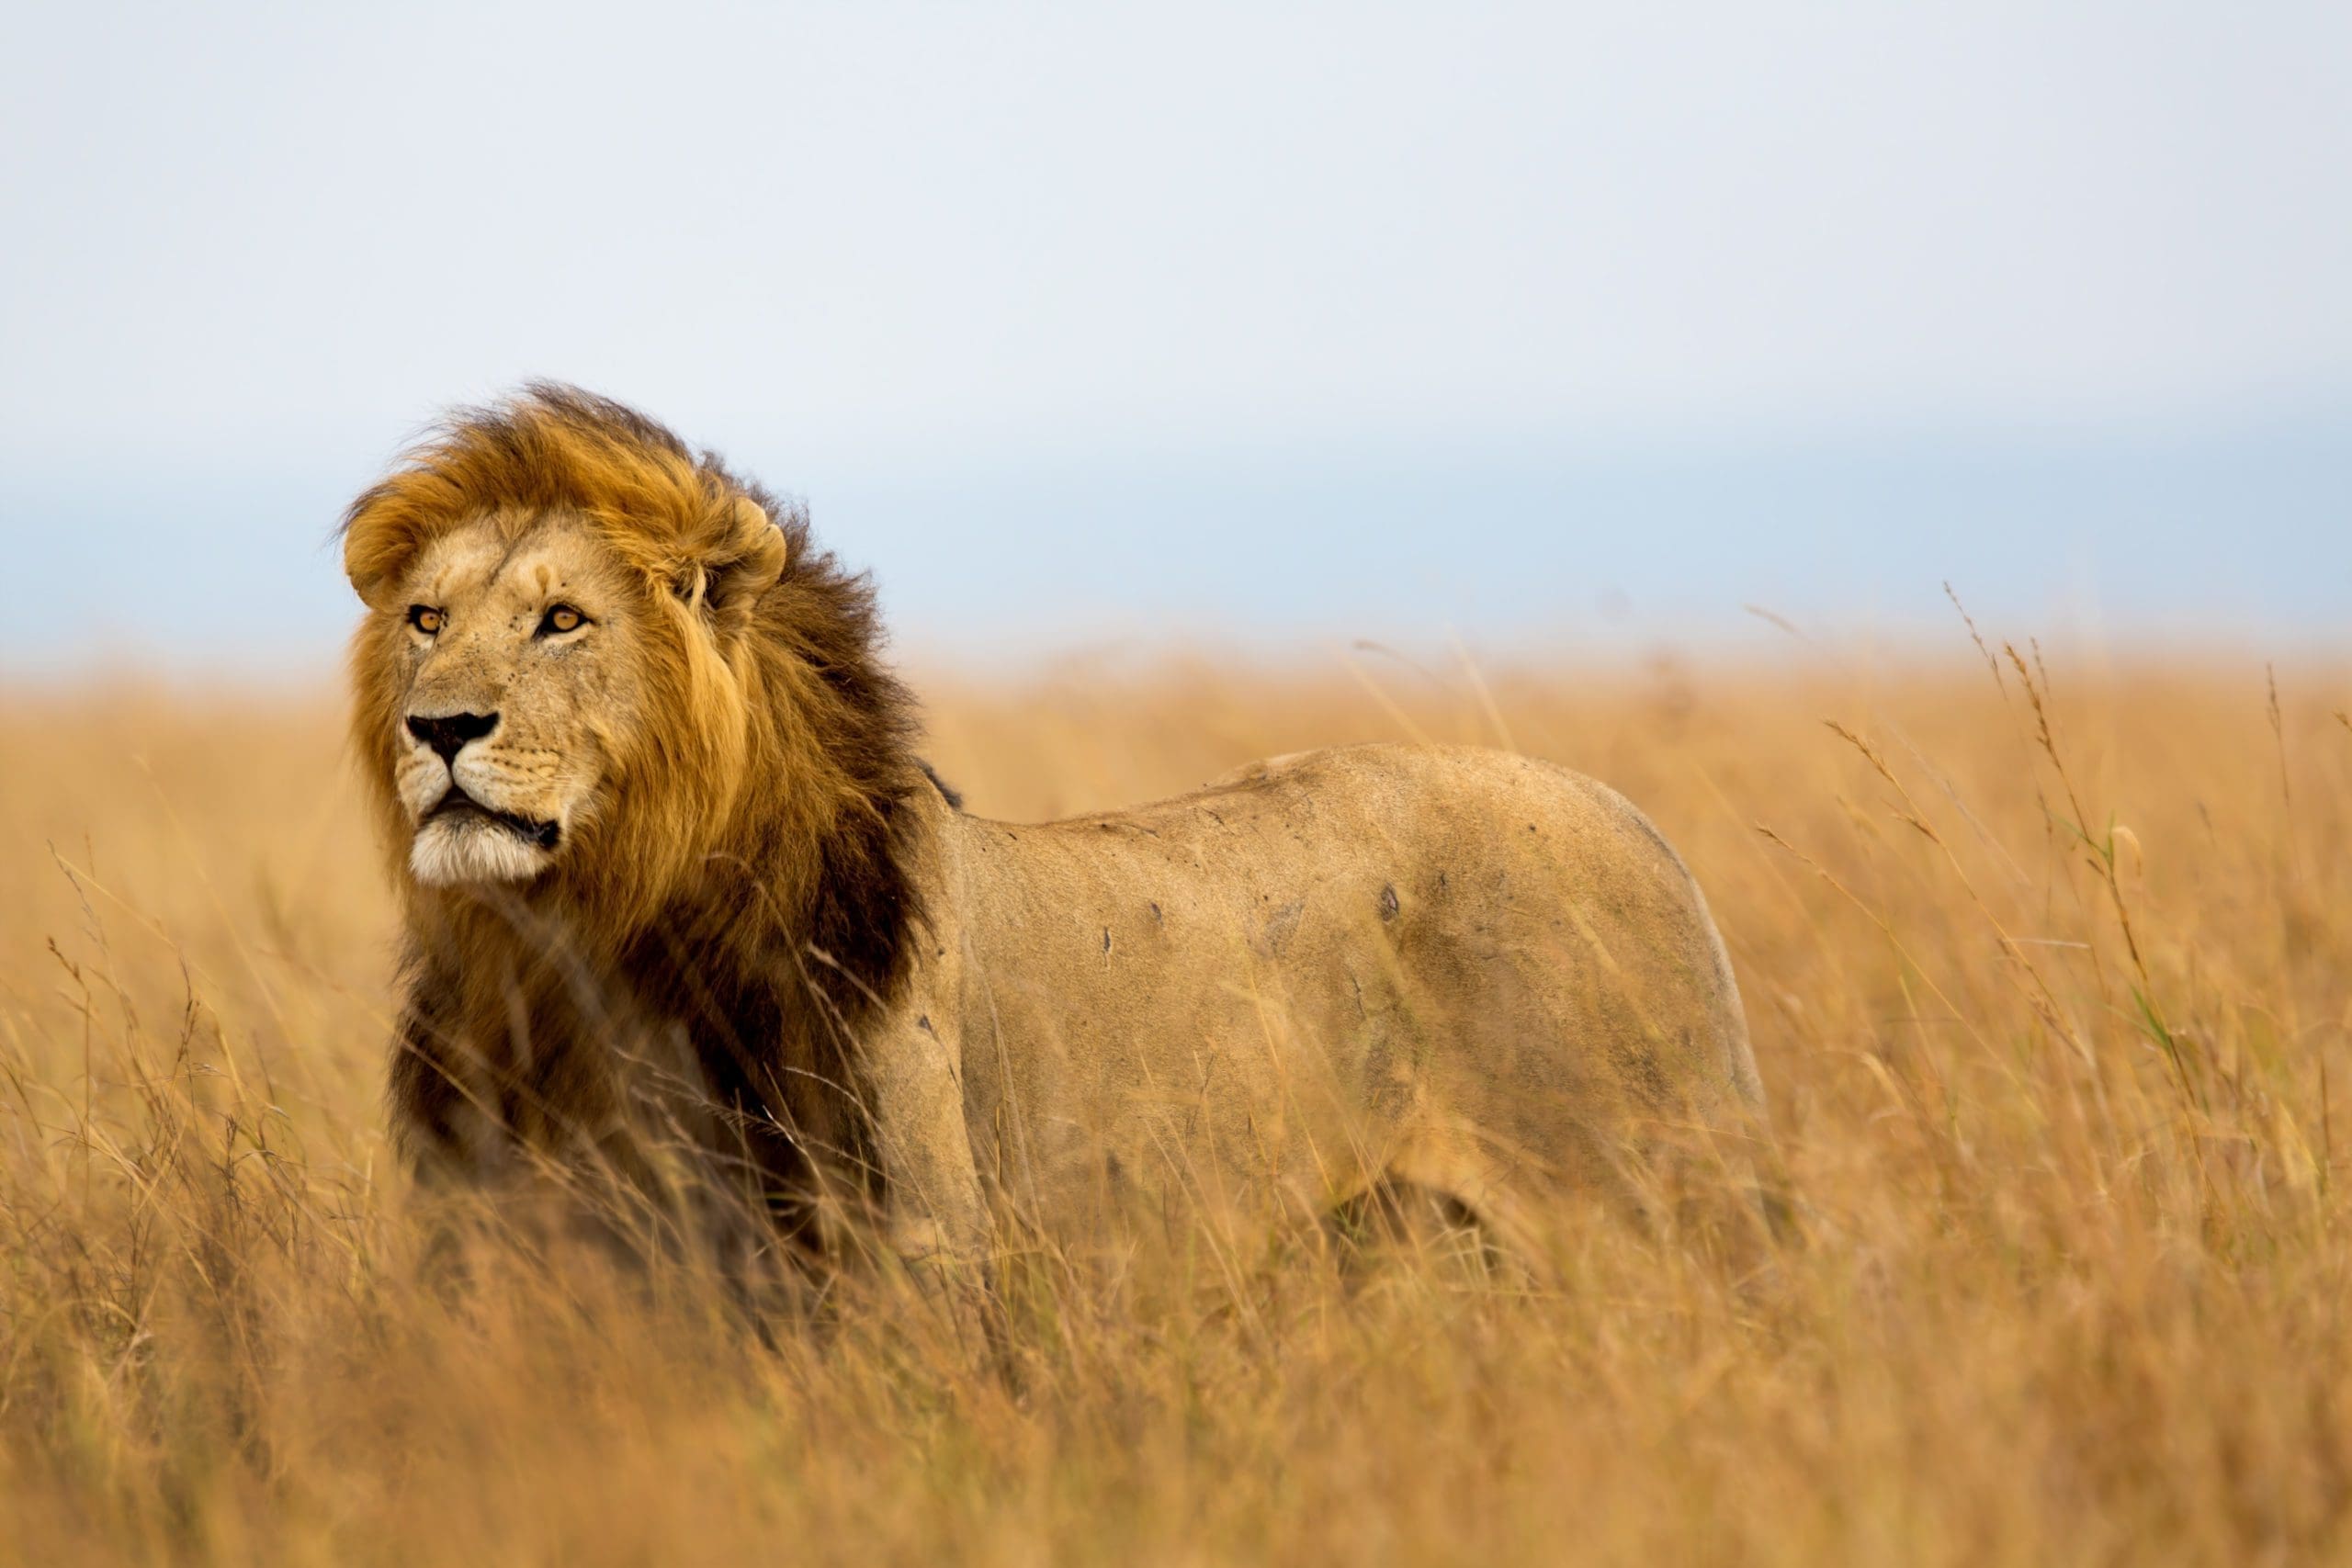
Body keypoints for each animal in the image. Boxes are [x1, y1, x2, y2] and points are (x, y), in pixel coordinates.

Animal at [342, 384, 1767, 1279]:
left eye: (561, 620)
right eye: (426, 619)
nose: (440, 726)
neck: (581, 945)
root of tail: (1640, 824)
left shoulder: (910, 1253)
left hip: (1653, 1208)